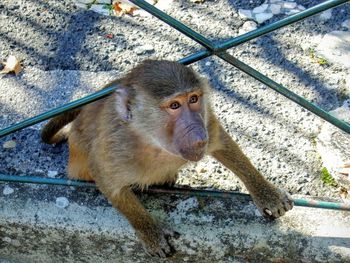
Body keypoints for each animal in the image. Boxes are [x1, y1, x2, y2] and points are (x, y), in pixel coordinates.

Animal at [41, 59, 292, 258]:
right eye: (174, 105)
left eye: (193, 99)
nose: (198, 133)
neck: (152, 141)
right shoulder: (115, 147)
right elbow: (107, 181)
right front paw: (150, 232)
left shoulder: (206, 119)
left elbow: (221, 141)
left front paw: (266, 193)